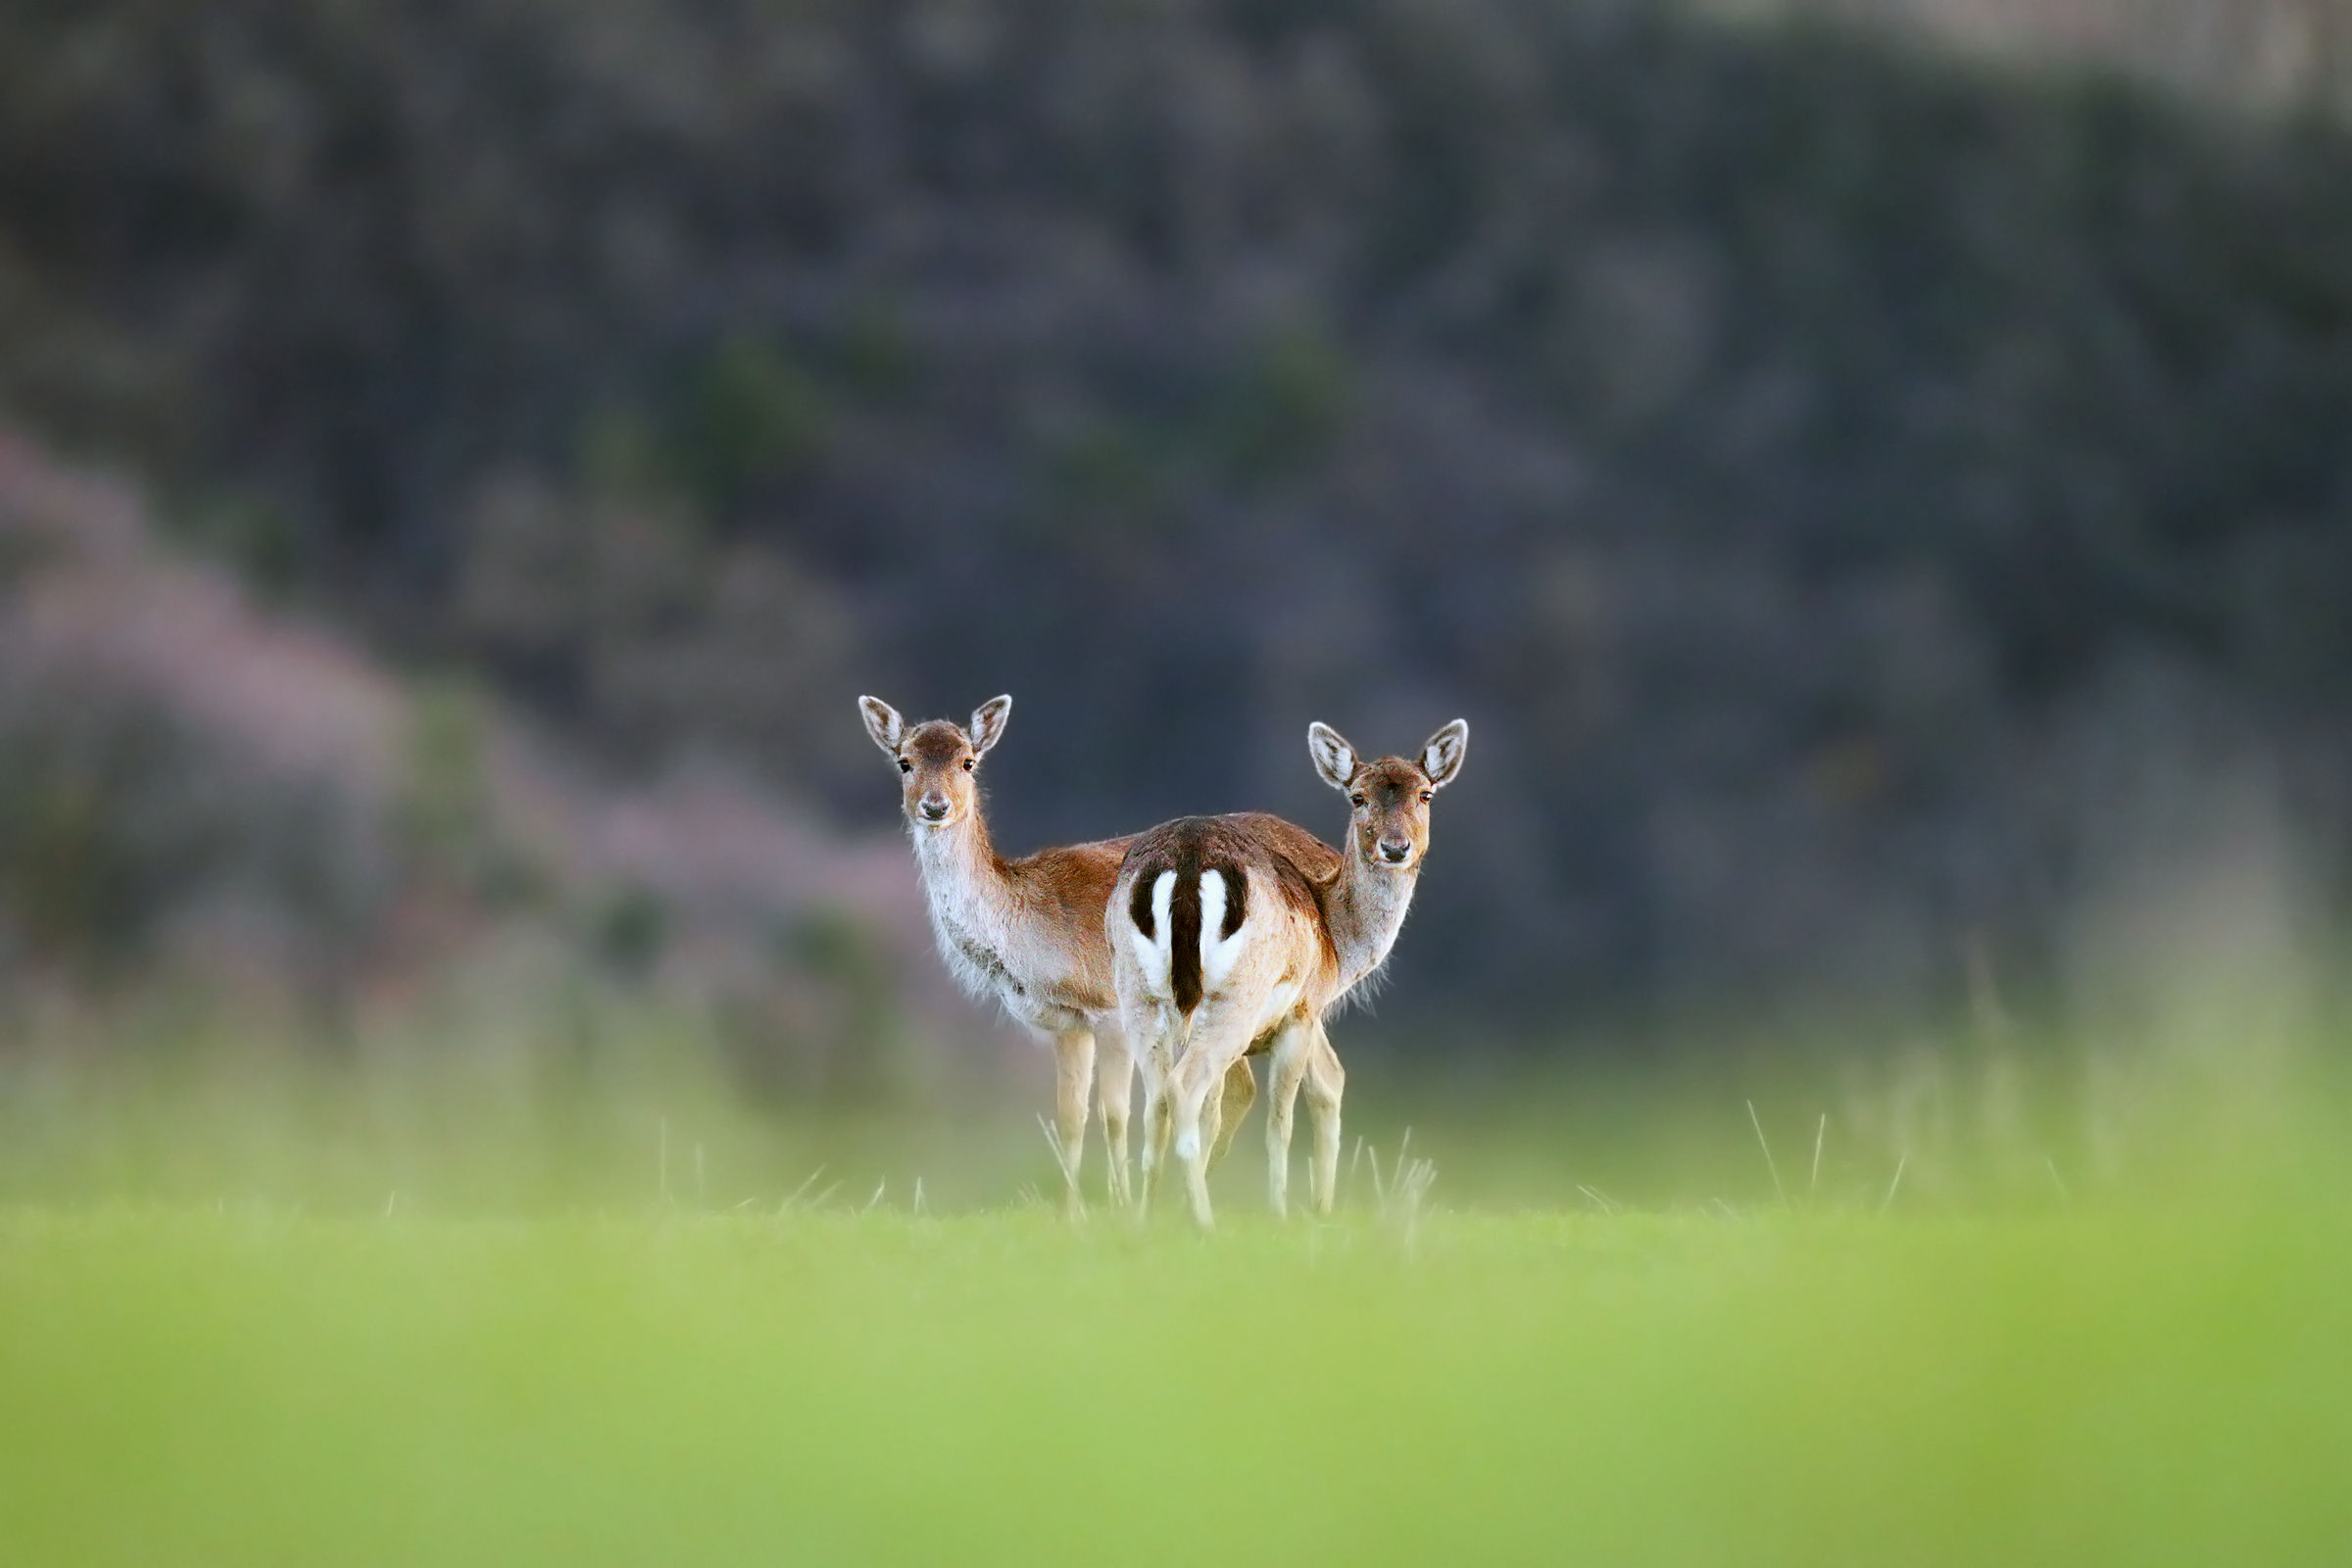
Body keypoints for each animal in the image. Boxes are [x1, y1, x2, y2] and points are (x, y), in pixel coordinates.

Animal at [858, 694, 1259, 1213]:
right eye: (904, 761)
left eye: (968, 761)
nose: (935, 805)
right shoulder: (1068, 1025)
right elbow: (1070, 1119)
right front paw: (1072, 1215)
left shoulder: (1111, 1011)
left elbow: (1114, 1115)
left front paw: (1121, 1208)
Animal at [1111, 718, 1469, 1227]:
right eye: (1357, 796)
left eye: (1425, 794)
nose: (1395, 847)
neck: (1334, 938)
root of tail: (1186, 864)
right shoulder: (1302, 1011)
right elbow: (1286, 1116)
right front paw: (1286, 1211)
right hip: (1234, 999)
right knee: (1187, 1086)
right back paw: (1203, 1218)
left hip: (1138, 995)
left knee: (1156, 1097)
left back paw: (1144, 1216)